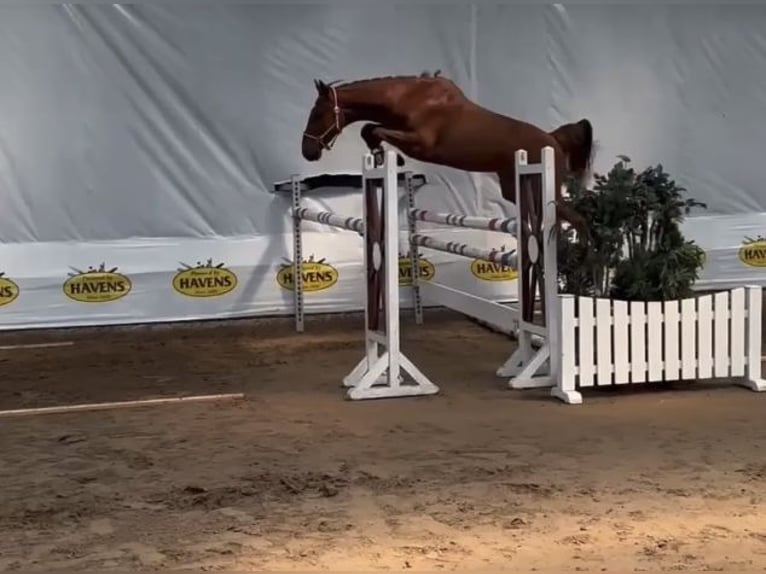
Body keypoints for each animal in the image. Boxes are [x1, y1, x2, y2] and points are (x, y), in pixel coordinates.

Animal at [298, 73, 592, 235]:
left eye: (318, 114)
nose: (307, 151)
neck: (411, 99)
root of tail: (553, 140)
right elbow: (370, 129)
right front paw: (381, 155)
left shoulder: (420, 144)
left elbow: (374, 129)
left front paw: (391, 157)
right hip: (515, 187)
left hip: (544, 187)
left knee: (577, 220)